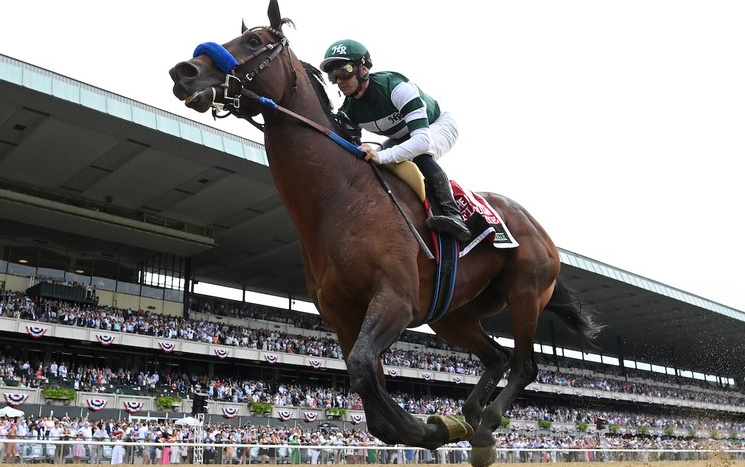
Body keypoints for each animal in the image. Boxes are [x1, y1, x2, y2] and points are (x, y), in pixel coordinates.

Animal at [169, 2, 601, 465]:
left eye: (253, 42)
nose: (183, 71)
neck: (339, 194)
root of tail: (535, 225)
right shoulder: (342, 313)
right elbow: (368, 392)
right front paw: (440, 425)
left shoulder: (394, 299)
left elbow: (362, 370)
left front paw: (433, 427)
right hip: (453, 315)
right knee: (498, 357)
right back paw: (470, 416)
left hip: (525, 292)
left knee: (524, 365)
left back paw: (485, 424)